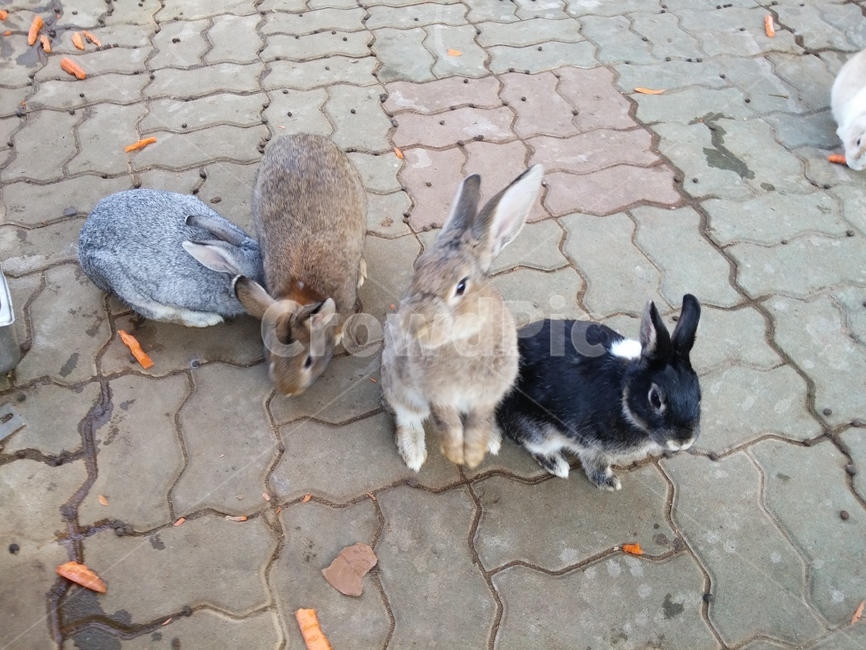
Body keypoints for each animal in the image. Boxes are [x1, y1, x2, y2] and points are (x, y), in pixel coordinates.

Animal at [233, 134, 367, 396]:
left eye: (309, 361)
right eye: (270, 356)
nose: (288, 390)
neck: (303, 292)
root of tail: (304, 136)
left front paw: (337, 335)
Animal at [380, 165, 544, 471]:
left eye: (461, 286)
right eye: (418, 268)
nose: (413, 324)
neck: (466, 339)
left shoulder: (487, 395)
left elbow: (478, 421)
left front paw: (477, 453)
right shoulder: (437, 395)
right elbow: (447, 423)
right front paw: (457, 454)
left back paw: (493, 439)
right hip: (399, 387)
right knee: (407, 416)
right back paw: (414, 453)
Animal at [496, 294, 702, 491]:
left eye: (699, 395)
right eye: (655, 399)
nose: (683, 441)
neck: (623, 389)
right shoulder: (592, 444)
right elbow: (596, 462)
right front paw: (608, 482)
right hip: (538, 430)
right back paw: (557, 465)